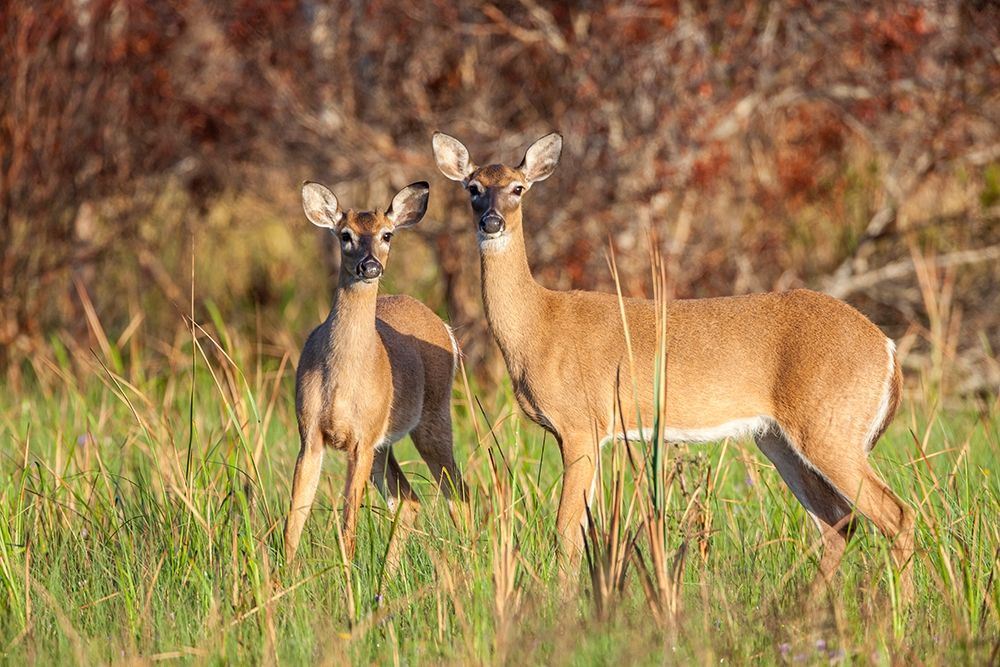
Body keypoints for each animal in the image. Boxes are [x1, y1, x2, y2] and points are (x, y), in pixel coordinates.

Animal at [284, 180, 468, 566]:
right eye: (345, 235)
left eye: (387, 234)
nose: (370, 267)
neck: (341, 378)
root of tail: (445, 327)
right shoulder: (310, 434)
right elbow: (294, 520)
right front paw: (280, 576)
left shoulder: (362, 439)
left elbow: (347, 524)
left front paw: (346, 574)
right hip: (386, 444)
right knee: (411, 499)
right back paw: (388, 572)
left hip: (432, 418)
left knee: (458, 491)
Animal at [432, 131, 914, 599]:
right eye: (473, 188)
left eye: (518, 188)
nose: (491, 222)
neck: (538, 325)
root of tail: (887, 348)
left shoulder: (582, 424)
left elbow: (566, 533)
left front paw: (564, 606)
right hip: (779, 438)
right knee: (839, 523)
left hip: (830, 426)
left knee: (896, 515)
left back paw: (898, 610)